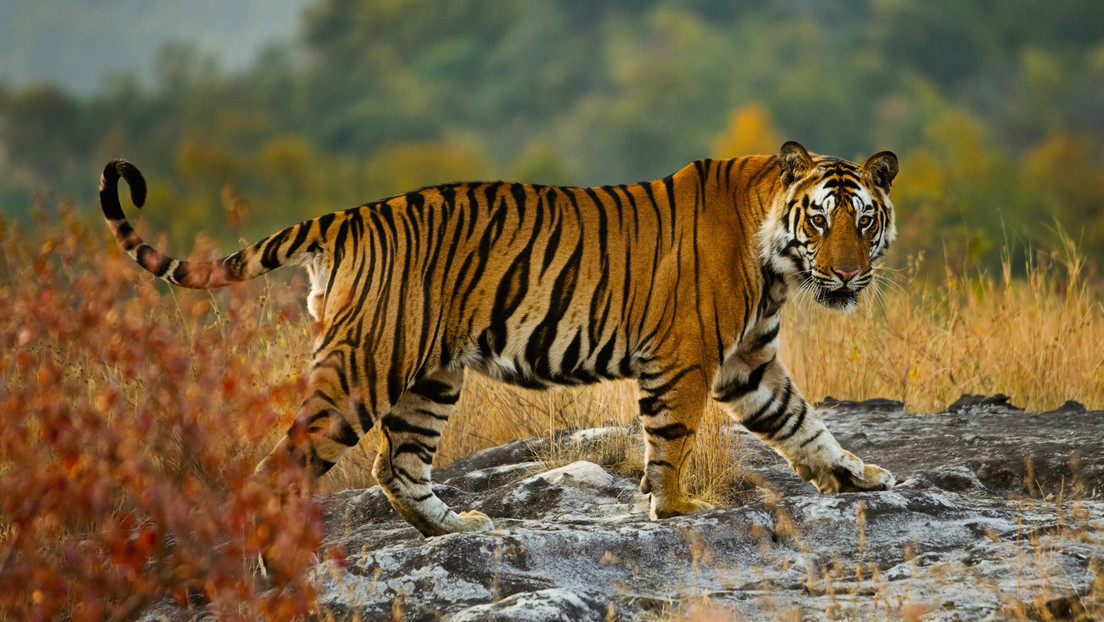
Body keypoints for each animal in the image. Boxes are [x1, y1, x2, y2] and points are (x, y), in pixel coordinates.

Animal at [101, 141, 896, 534]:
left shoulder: (748, 362)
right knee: (286, 466)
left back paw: (457, 529)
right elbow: (672, 441)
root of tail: (348, 216)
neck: (777, 262)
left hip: (429, 377)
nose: (849, 276)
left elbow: (801, 422)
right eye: (821, 219)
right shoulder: (687, 358)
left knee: (397, 466)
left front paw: (857, 475)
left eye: (865, 220)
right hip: (365, 368)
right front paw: (674, 510)